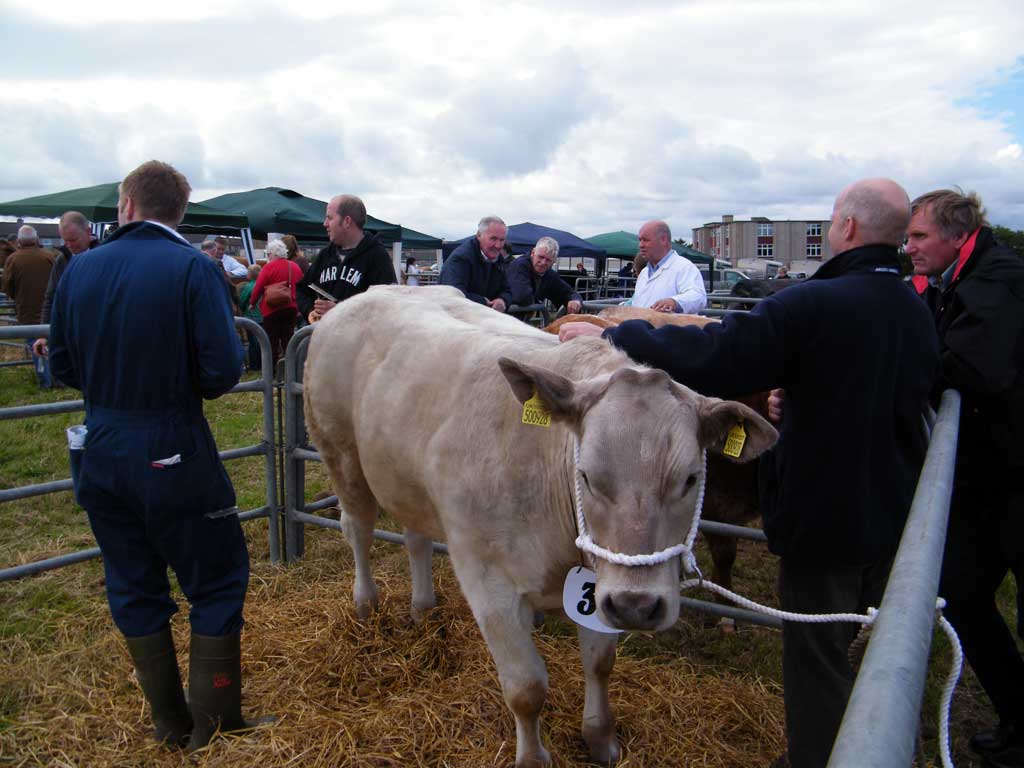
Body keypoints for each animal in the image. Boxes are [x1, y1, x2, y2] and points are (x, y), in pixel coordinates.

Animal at [303, 286, 774, 765]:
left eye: (691, 479)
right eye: (586, 475)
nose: (636, 607)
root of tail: (362, 296)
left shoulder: (595, 584)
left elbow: (600, 665)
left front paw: (600, 738)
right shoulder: (487, 580)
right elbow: (526, 689)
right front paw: (533, 756)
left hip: (406, 477)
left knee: (415, 537)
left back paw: (423, 608)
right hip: (340, 453)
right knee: (358, 528)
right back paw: (366, 605)